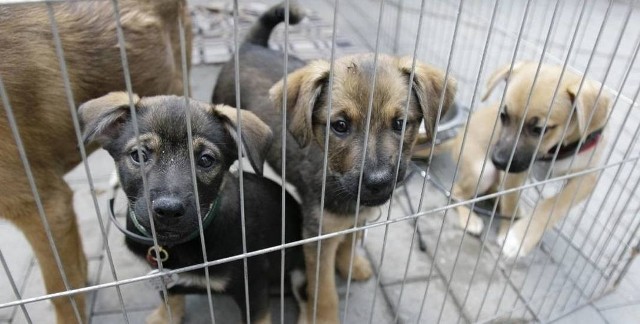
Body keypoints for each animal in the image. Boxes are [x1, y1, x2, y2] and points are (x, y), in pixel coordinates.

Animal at [79, 92, 308, 324]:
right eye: (139, 155)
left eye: (206, 160)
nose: (168, 210)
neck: (175, 245)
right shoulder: (164, 279)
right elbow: (170, 302)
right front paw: (163, 317)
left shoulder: (252, 285)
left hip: (300, 271)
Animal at [212, 1, 458, 322]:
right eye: (340, 126)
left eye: (401, 123)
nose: (378, 183)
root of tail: (251, 45)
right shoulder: (317, 235)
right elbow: (325, 291)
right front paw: (326, 314)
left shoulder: (359, 216)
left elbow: (351, 241)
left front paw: (351, 265)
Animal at [450, 60, 608, 258]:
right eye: (503, 116)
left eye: (539, 129)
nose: (498, 161)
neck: (557, 150)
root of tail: (457, 137)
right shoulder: (512, 172)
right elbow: (510, 201)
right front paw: (508, 233)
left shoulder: (586, 178)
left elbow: (554, 205)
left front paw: (520, 238)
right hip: (482, 171)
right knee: (456, 192)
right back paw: (470, 219)